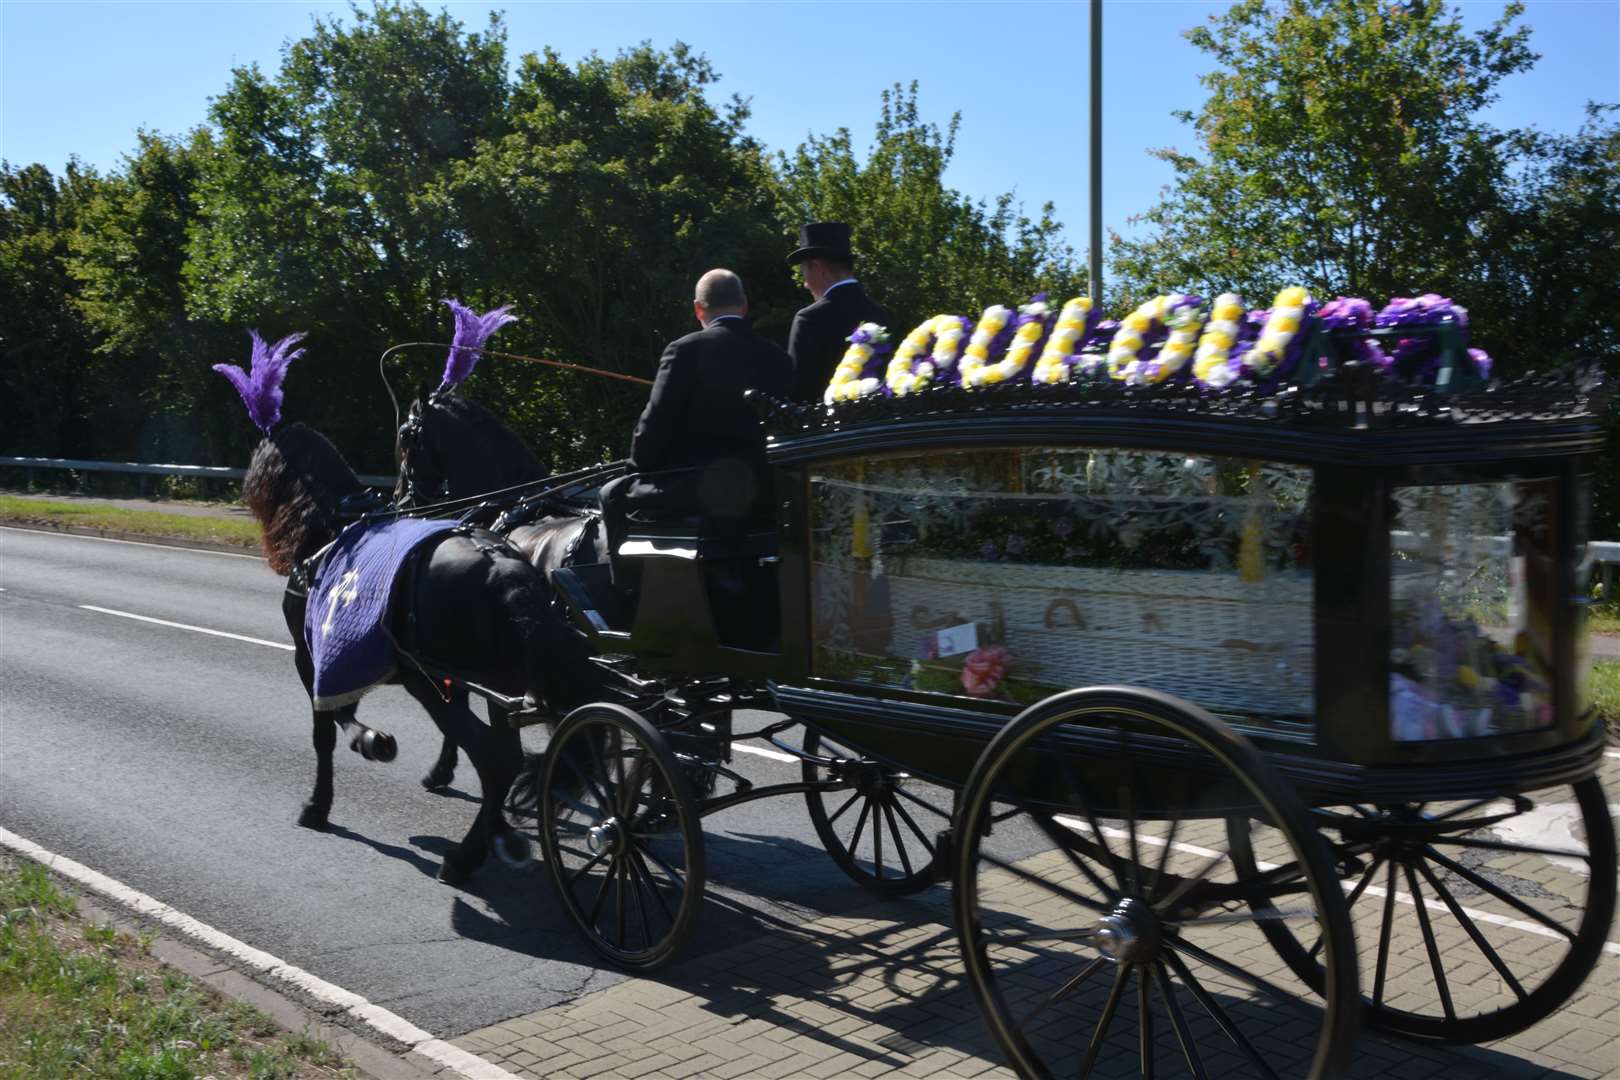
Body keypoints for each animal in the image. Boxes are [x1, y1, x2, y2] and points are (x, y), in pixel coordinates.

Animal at [246, 420, 589, 887]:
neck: (333, 528)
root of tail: (502, 568)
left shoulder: (312, 657)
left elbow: (327, 730)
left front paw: (323, 799)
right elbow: (343, 712)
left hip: (430, 683)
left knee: (494, 760)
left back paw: (463, 858)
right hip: (497, 688)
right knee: (505, 756)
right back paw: (492, 833)